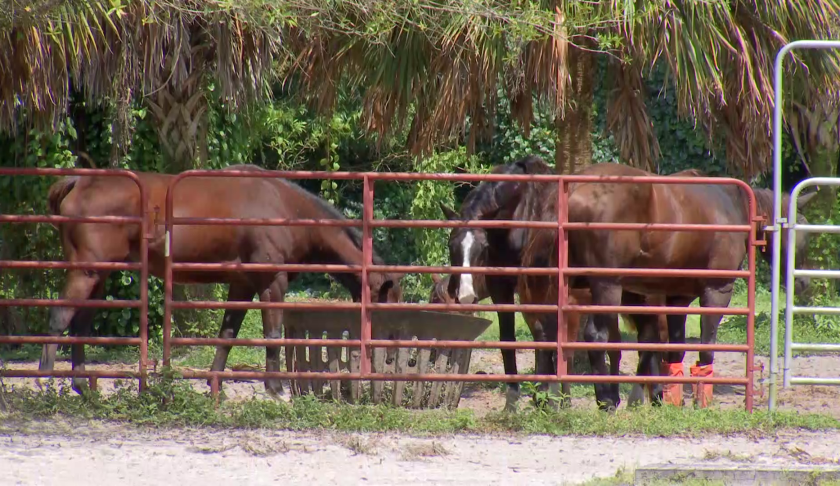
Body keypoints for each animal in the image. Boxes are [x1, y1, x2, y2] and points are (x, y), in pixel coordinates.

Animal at [42, 163, 404, 394]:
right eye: (386, 304)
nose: (390, 354)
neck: (284, 209)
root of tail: (77, 183)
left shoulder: (241, 285)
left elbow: (227, 334)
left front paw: (214, 384)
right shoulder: (272, 284)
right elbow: (272, 334)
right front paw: (275, 387)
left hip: (100, 276)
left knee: (80, 324)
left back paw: (82, 384)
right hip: (87, 272)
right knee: (59, 317)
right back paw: (45, 379)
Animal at [520, 163, 812, 410]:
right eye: (801, 231)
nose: (803, 282)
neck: (733, 208)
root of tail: (573, 190)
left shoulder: (676, 298)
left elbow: (674, 348)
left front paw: (671, 398)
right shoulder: (716, 292)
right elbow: (706, 346)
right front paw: (700, 400)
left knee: (548, 334)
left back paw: (550, 399)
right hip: (605, 287)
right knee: (594, 336)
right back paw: (605, 400)